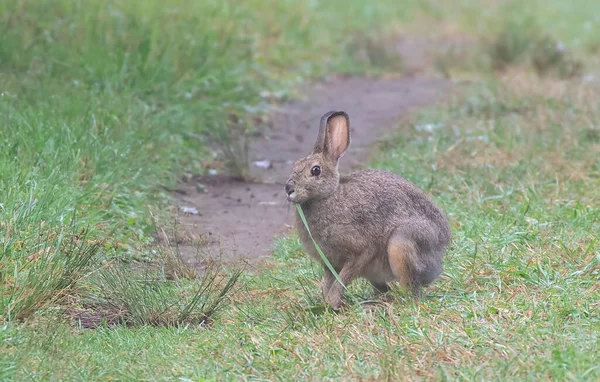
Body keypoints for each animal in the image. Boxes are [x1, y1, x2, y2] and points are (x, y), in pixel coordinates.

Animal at [286, 111, 450, 310]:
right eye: (295, 165)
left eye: (315, 170)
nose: (288, 189)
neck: (328, 196)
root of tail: (439, 255)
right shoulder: (330, 263)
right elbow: (329, 282)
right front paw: (327, 303)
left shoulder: (361, 251)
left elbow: (342, 280)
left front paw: (332, 304)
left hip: (401, 243)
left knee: (411, 290)